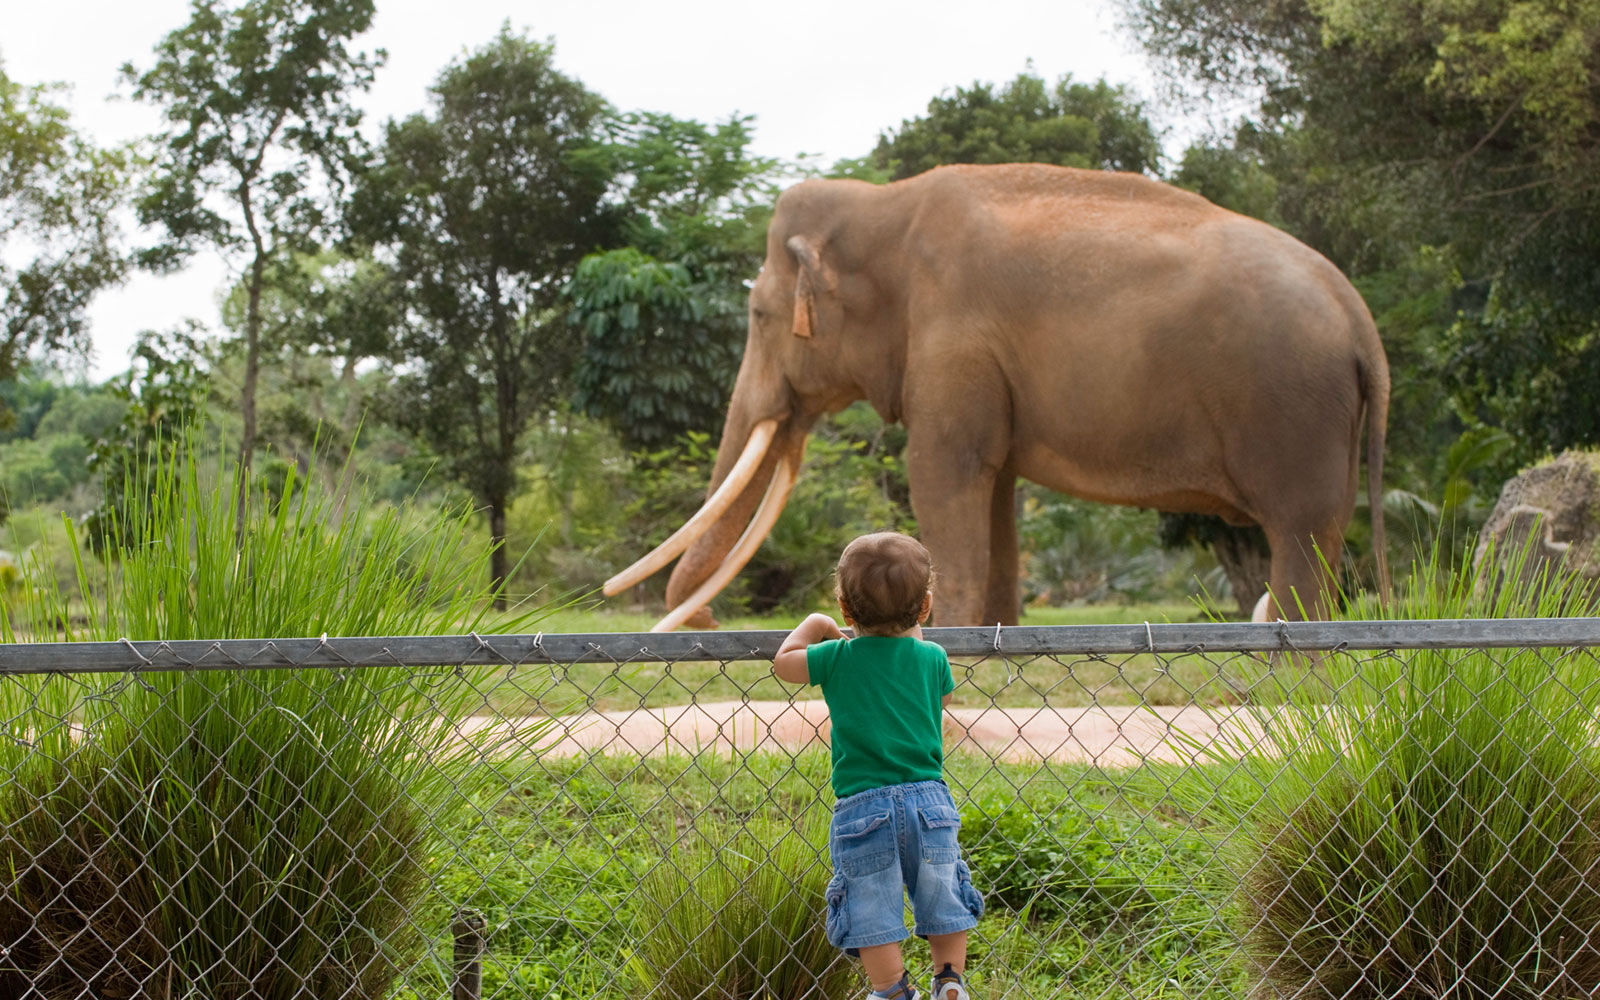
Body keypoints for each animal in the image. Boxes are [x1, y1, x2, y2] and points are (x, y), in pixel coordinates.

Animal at [604, 165, 1382, 630]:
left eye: (760, 316)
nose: (706, 623)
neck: (883, 201)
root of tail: (1360, 318)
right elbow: (997, 488)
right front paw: (996, 639)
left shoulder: (952, 338)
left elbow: (941, 474)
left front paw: (941, 637)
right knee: (1324, 529)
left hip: (1293, 411)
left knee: (1300, 530)